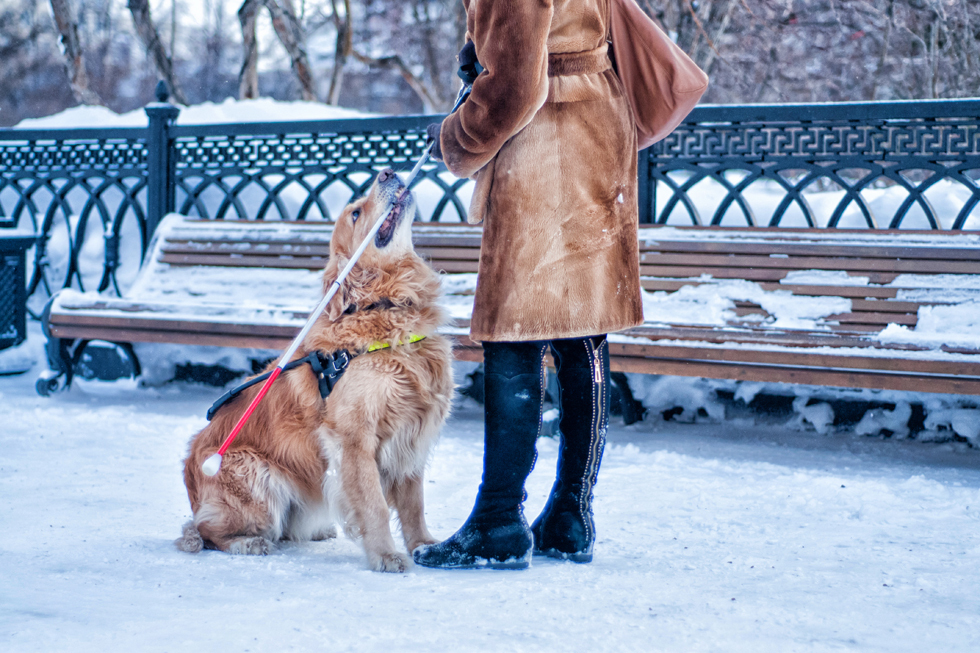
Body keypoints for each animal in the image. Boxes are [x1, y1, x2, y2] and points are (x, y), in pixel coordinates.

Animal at [175, 168, 452, 572]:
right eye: (355, 214)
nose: (387, 172)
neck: (384, 308)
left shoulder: (412, 433)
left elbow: (414, 506)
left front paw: (424, 546)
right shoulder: (354, 438)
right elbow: (374, 504)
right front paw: (386, 555)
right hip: (255, 471)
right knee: (204, 531)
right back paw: (247, 542)